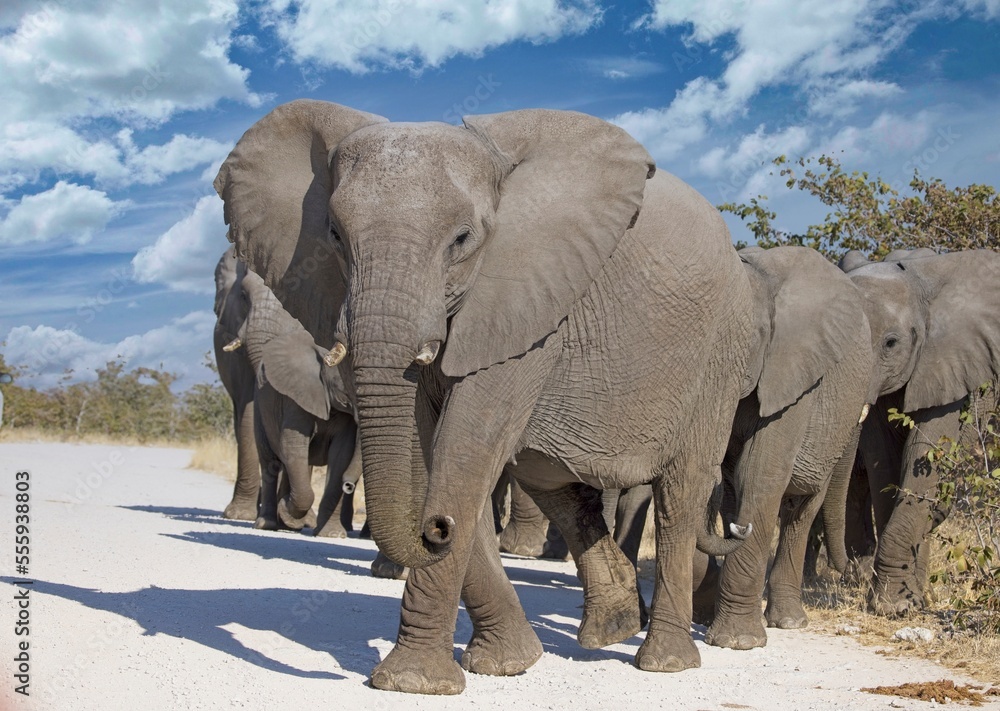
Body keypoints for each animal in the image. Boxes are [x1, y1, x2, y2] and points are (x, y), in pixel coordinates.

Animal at [214, 100, 756, 694]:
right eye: (333, 234)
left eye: (462, 239)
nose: (433, 528)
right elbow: (438, 451)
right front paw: (505, 664)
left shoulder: (529, 303)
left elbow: (466, 450)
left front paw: (411, 683)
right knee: (555, 482)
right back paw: (611, 629)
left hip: (719, 356)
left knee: (681, 491)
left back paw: (663, 660)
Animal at [839, 248, 1000, 615]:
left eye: (890, 343)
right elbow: (884, 463)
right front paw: (899, 601)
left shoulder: (950, 362)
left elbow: (923, 455)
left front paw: (892, 605)